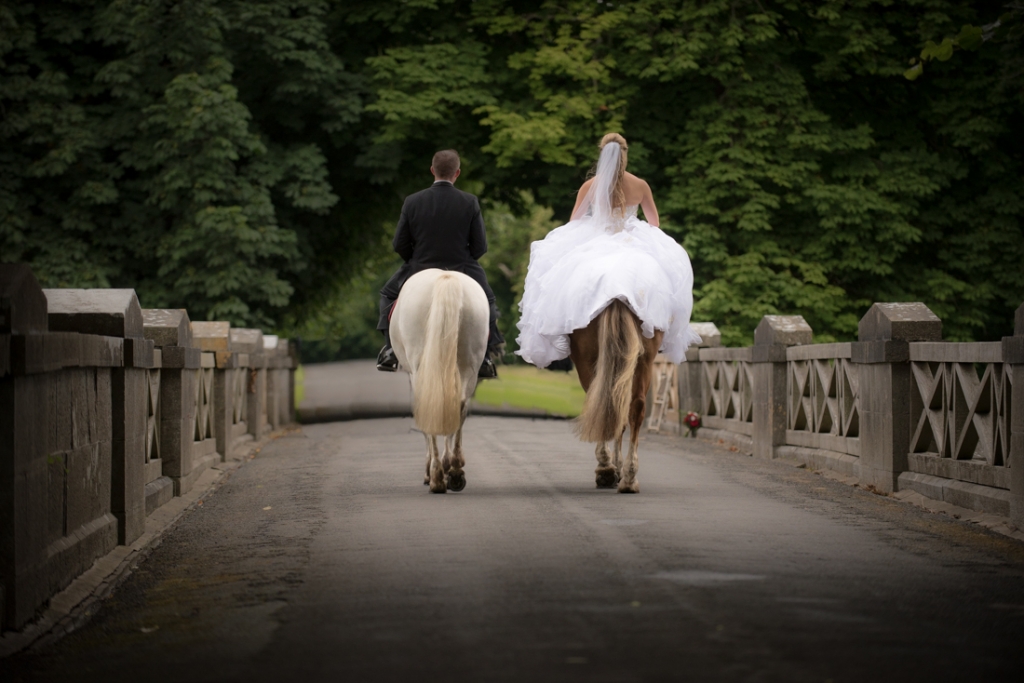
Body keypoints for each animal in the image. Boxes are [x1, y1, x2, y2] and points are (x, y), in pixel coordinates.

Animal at [389, 270, 489, 493]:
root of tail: (446, 277)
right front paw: (448, 465)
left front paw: (433, 471)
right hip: (470, 364)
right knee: (458, 405)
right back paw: (455, 471)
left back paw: (436, 476)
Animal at [569, 299, 663, 491]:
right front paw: (617, 468)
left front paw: (610, 468)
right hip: (643, 360)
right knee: (633, 407)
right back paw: (629, 477)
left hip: (589, 360)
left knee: (604, 403)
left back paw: (609, 469)